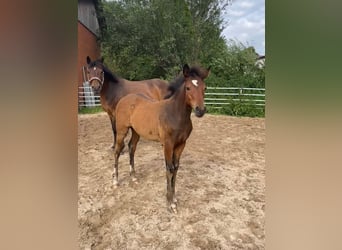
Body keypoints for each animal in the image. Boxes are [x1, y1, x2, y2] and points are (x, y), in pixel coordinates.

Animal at [113, 64, 210, 213]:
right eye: (188, 87)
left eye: (204, 88)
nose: (200, 110)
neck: (175, 114)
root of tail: (124, 99)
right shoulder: (168, 144)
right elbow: (169, 168)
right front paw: (170, 203)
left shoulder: (181, 144)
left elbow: (176, 168)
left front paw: (174, 199)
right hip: (121, 131)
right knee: (117, 151)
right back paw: (115, 181)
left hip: (136, 132)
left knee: (131, 148)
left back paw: (133, 177)